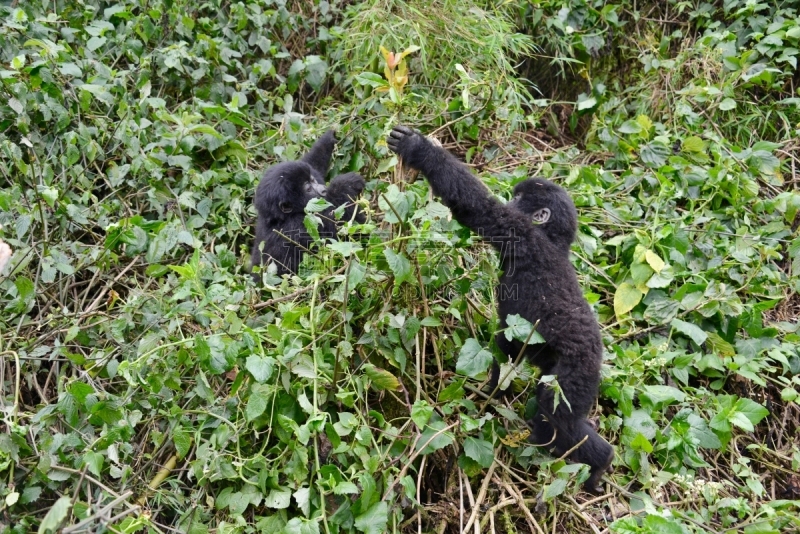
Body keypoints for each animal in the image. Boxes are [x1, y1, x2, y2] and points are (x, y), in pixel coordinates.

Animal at [250, 132, 366, 278]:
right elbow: (332, 232)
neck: (278, 218)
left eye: (312, 180)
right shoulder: (298, 227)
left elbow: (312, 164)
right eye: (308, 189)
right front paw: (345, 184)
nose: (323, 189)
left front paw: (327, 139)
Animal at [388, 124, 612, 494]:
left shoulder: (517, 231)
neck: (553, 240)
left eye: (520, 200)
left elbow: (476, 206)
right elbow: (503, 350)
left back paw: (594, 459)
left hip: (575, 373)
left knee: (555, 414)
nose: (513, 198)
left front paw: (418, 148)